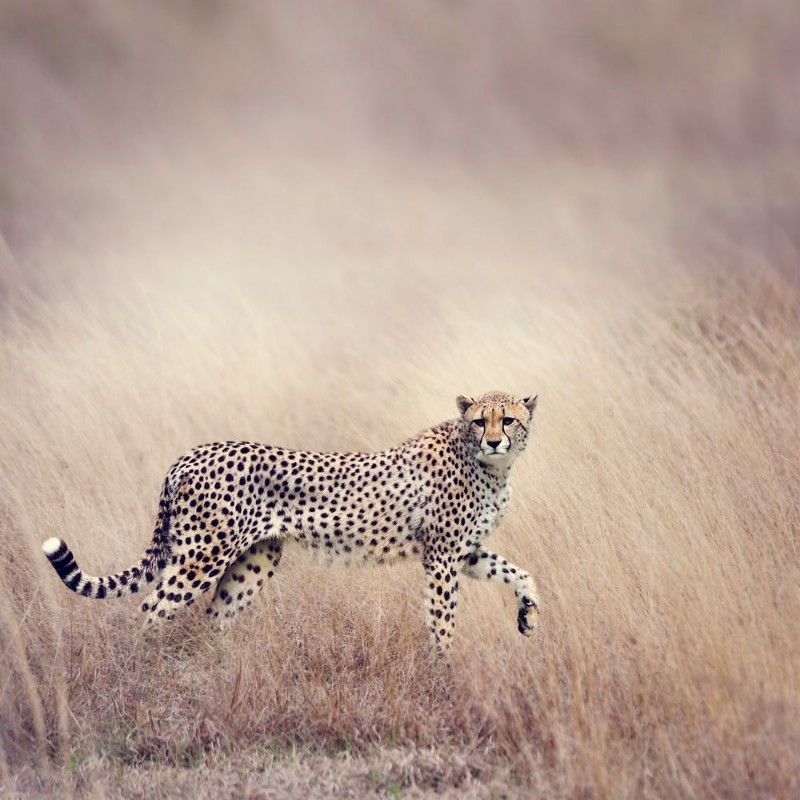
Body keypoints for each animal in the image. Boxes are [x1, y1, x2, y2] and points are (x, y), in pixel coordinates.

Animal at [42, 391, 541, 651]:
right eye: (479, 421)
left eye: (508, 420)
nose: (494, 441)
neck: (491, 468)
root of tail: (190, 454)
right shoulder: (441, 558)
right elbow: (443, 619)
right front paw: (443, 671)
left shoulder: (464, 552)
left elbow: (520, 573)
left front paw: (528, 614)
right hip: (201, 557)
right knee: (149, 610)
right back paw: (141, 673)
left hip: (254, 561)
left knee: (213, 618)